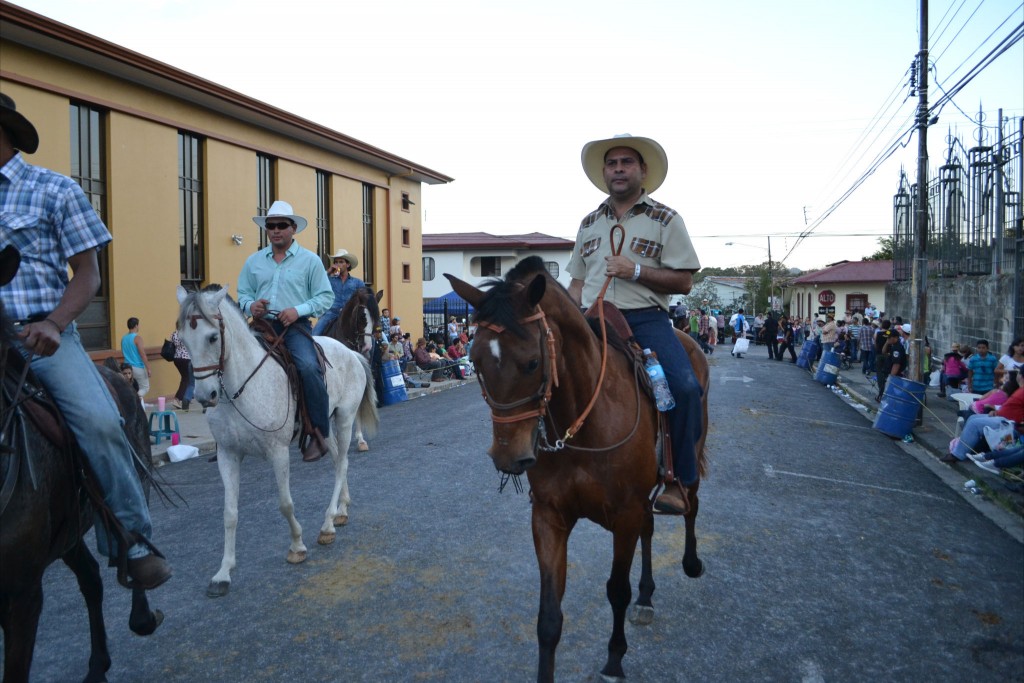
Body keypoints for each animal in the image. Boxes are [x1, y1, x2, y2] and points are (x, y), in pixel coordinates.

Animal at [177, 286, 380, 593]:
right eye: (184, 339)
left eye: (212, 337)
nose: (204, 396)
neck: (240, 389)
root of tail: (352, 353)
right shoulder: (227, 454)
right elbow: (229, 513)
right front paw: (223, 572)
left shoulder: (278, 452)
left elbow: (285, 504)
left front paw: (297, 545)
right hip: (326, 425)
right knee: (337, 460)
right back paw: (341, 510)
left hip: (344, 419)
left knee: (342, 464)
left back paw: (328, 524)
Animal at [448, 258, 712, 683]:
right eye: (475, 361)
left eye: (532, 362)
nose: (508, 457)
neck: (585, 415)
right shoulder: (550, 516)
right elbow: (548, 616)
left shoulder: (624, 515)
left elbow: (616, 590)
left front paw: (614, 660)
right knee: (651, 530)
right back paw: (647, 595)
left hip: (688, 456)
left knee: (691, 501)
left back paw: (690, 562)